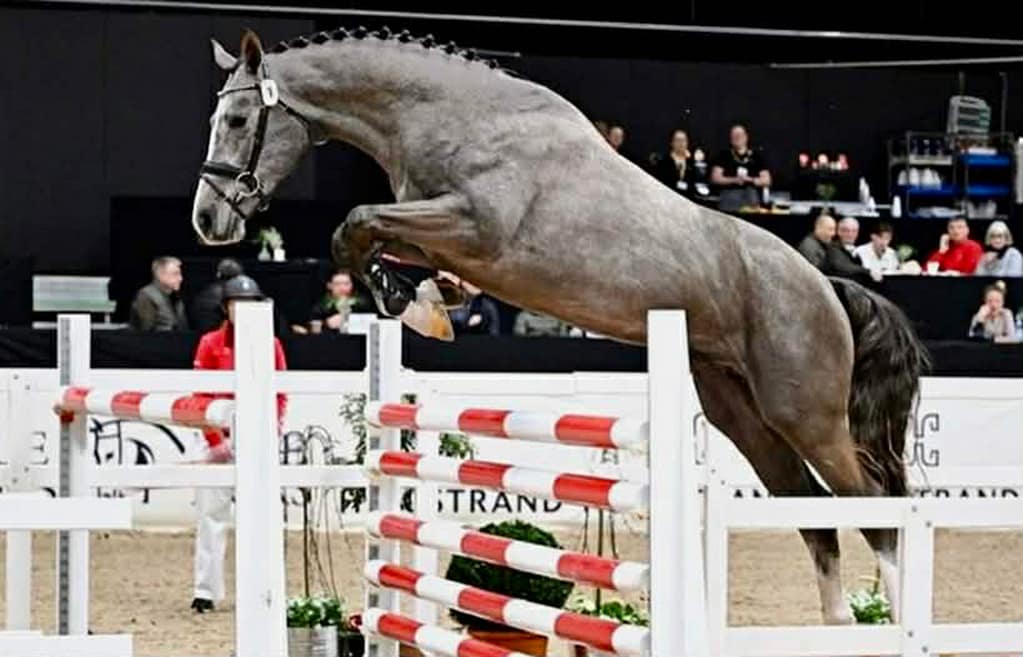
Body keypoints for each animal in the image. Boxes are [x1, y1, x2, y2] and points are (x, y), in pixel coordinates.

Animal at [190, 28, 929, 625]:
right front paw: (425, 300)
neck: (450, 115)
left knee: (873, 506)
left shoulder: (473, 229)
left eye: (238, 118)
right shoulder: (440, 235)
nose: (207, 220)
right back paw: (838, 623)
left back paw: (895, 619)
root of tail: (826, 287)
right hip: (741, 414)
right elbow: (364, 238)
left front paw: (417, 303)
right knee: (814, 512)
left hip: (805, 414)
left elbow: (355, 224)